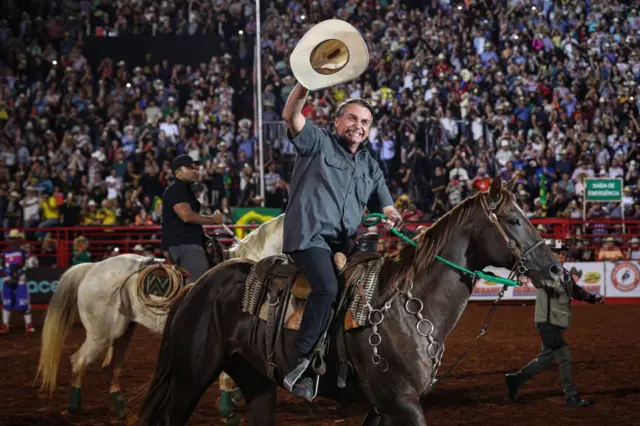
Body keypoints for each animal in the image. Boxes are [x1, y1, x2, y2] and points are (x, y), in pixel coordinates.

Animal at [36, 215, 284, 418]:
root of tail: (93, 267)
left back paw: (122, 410)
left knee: (112, 367)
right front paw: (227, 406)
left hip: (123, 331)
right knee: (78, 361)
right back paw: (74, 407)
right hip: (102, 333)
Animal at [135, 175, 560, 424]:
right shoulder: (402, 402)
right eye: (514, 220)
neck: (406, 307)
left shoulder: (381, 407)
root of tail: (198, 285)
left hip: (256, 381)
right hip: (190, 379)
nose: (556, 269)